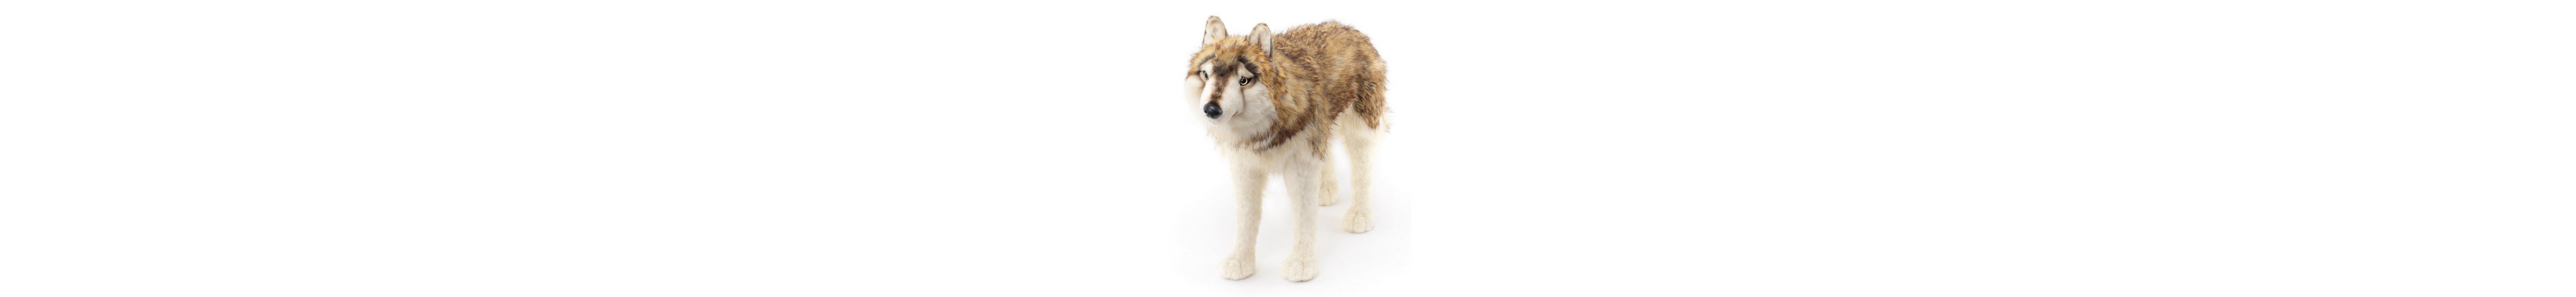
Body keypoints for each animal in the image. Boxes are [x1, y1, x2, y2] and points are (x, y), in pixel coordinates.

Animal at [1183, 16, 1387, 282]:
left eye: (1244, 80)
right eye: (1206, 75)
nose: (1211, 109)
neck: (1262, 127)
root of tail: (1350, 30)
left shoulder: (1301, 167)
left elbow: (1304, 219)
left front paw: (1301, 264)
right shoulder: (1245, 168)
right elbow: (1246, 219)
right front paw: (1240, 261)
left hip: (1360, 126)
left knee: (1363, 168)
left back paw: (1360, 215)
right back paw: (1325, 190)